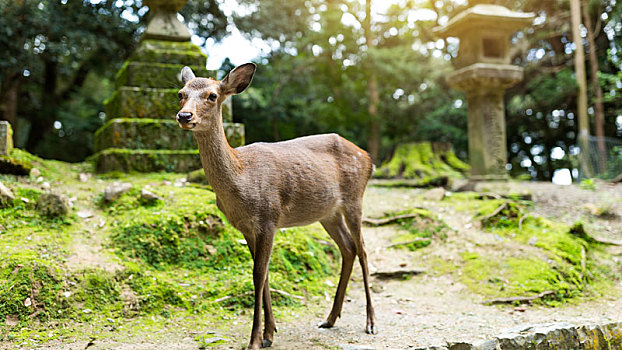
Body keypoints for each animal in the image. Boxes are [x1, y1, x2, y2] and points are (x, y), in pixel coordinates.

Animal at [178, 63, 378, 350]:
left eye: (212, 95)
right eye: (181, 94)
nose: (184, 115)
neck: (241, 178)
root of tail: (368, 157)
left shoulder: (268, 217)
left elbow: (258, 274)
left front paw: (254, 340)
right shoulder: (246, 227)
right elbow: (265, 275)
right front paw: (269, 333)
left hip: (355, 199)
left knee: (362, 250)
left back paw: (371, 322)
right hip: (328, 213)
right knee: (348, 248)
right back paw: (330, 318)